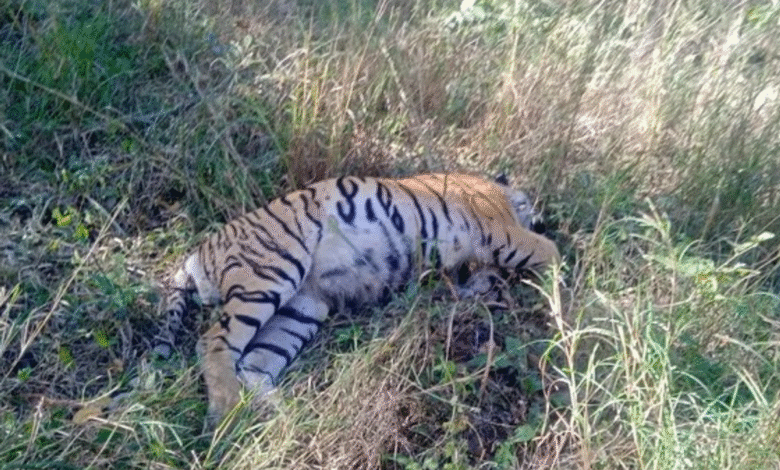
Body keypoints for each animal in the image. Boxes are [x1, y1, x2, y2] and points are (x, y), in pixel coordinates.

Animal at [159, 173, 560, 423]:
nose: (544, 219)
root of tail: (197, 253)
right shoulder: (501, 230)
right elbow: (549, 252)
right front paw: (562, 295)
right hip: (270, 272)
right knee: (213, 342)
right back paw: (225, 414)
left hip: (302, 308)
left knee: (254, 365)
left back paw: (292, 417)